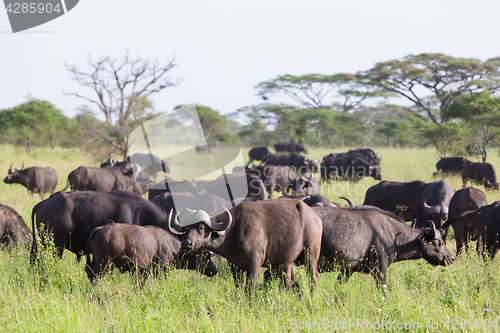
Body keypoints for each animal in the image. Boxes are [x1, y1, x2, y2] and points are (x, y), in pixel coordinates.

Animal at [84, 223, 217, 280]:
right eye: (206, 256)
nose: (215, 270)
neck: (172, 247)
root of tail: (101, 228)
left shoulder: (143, 272)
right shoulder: (159, 270)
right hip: (103, 264)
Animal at [170, 198, 322, 294]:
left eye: (201, 227)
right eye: (186, 227)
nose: (186, 244)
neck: (233, 230)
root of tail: (315, 217)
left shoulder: (254, 264)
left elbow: (250, 288)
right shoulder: (234, 266)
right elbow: (239, 286)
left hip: (310, 254)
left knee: (314, 276)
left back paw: (312, 296)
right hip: (287, 261)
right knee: (289, 280)